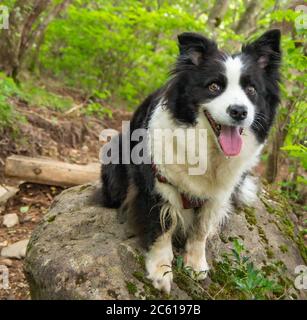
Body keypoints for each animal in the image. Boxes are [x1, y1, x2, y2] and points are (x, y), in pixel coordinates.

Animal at [100, 29, 282, 292]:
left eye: (251, 90)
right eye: (214, 86)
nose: (239, 111)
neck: (208, 150)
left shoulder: (217, 196)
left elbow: (201, 231)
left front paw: (195, 265)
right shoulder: (157, 184)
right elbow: (161, 229)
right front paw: (161, 271)